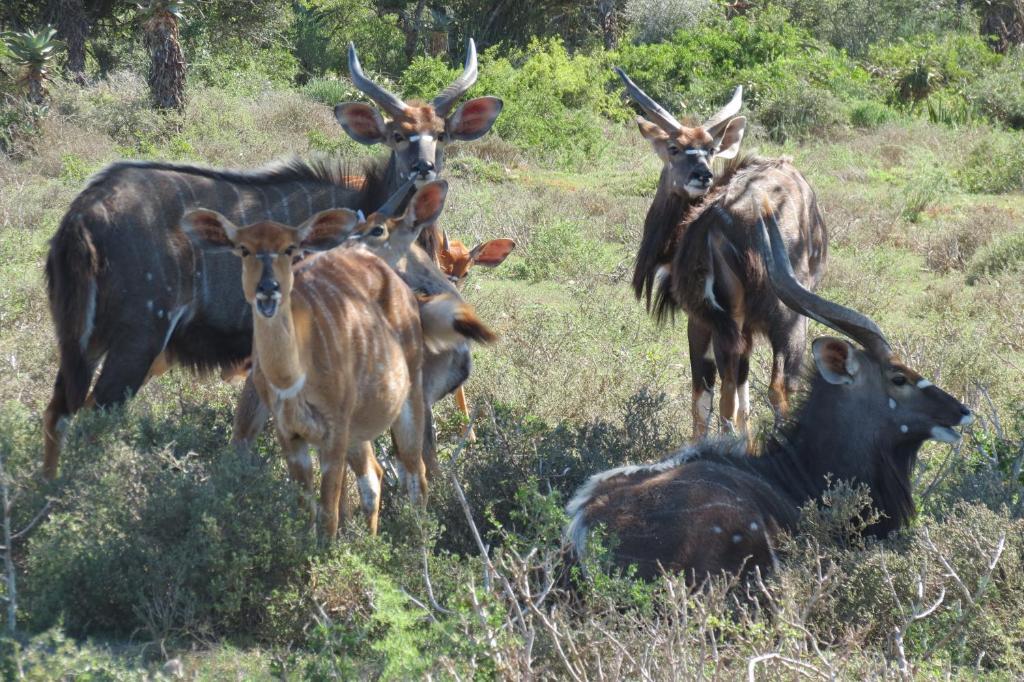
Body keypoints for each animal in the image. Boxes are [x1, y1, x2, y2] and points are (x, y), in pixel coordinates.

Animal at [610, 65, 827, 436]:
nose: (703, 175)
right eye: (674, 147)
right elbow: (740, 400)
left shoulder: (701, 320)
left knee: (746, 396)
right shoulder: (742, 327)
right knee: (770, 390)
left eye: (710, 149)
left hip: (765, 320)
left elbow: (704, 401)